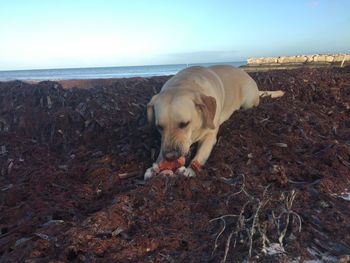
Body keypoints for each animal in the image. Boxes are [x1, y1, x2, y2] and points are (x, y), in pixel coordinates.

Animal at [145, 64, 284, 179]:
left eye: (184, 124)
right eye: (159, 127)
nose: (170, 157)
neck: (184, 83)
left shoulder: (210, 136)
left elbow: (201, 153)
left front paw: (190, 169)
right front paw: (155, 167)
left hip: (248, 102)